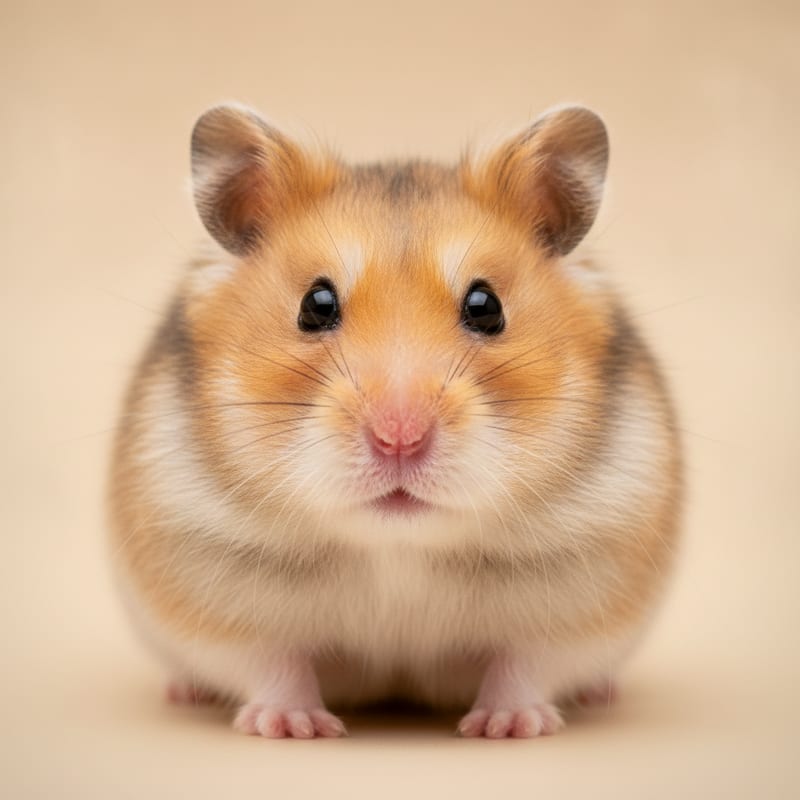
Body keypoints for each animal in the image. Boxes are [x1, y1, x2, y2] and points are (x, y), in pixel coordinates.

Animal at [109, 103, 681, 739]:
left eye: (486, 306)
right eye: (316, 304)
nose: (399, 437)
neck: (398, 549)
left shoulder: (584, 593)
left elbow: (524, 665)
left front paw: (508, 726)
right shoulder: (212, 590)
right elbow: (273, 663)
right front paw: (293, 727)